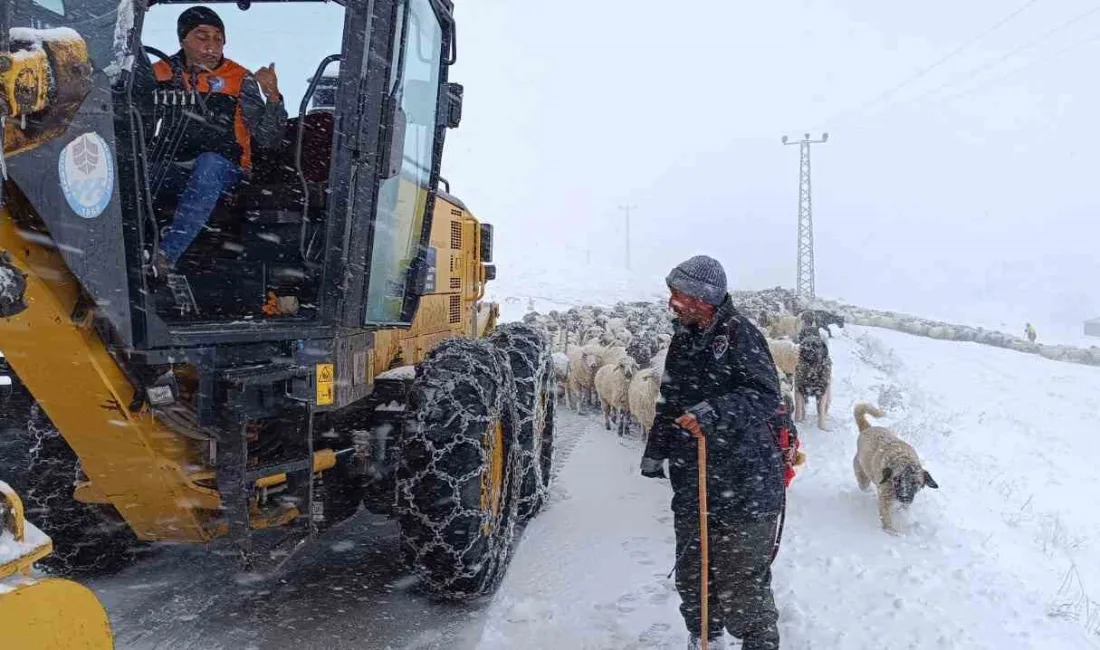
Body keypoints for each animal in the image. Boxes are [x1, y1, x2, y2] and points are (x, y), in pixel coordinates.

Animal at [849, 404, 937, 536]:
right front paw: (893, 532)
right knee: (864, 486)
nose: (904, 498)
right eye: (897, 479)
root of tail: (867, 428)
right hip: (863, 476)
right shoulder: (885, 499)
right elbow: (886, 519)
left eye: (915, 483)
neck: (904, 461)